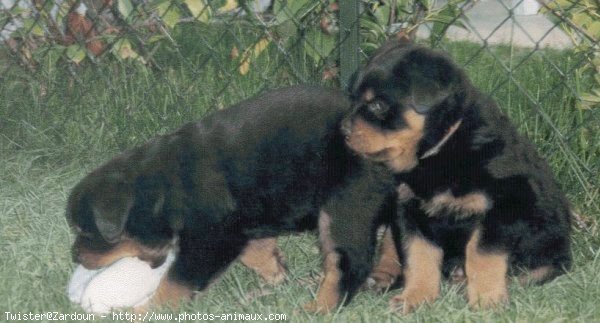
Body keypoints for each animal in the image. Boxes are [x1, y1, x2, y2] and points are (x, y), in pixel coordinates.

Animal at [65, 85, 396, 314]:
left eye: (86, 231)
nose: (75, 255)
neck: (164, 187)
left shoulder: (211, 239)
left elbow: (175, 282)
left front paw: (145, 311)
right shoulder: (238, 223)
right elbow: (255, 250)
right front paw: (275, 273)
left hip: (345, 208)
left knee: (347, 264)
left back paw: (318, 309)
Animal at [342, 40, 572, 314]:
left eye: (378, 105)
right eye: (353, 99)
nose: (342, 131)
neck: (440, 149)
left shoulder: (503, 206)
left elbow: (482, 255)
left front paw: (486, 300)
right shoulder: (408, 208)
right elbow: (418, 256)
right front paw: (415, 297)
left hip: (550, 237)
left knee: (541, 267)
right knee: (390, 244)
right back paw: (381, 277)